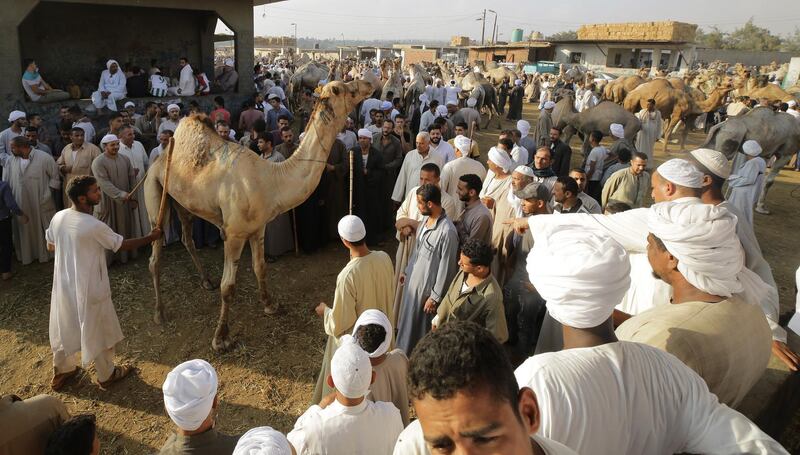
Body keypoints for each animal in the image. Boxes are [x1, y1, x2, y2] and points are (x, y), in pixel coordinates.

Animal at [144, 73, 382, 350]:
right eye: (344, 89)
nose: (368, 83)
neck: (271, 181)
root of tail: (159, 159)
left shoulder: (258, 228)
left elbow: (260, 267)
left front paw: (271, 305)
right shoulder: (234, 233)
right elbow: (229, 286)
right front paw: (221, 338)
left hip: (181, 201)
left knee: (187, 237)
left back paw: (205, 281)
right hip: (155, 189)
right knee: (155, 252)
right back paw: (159, 312)